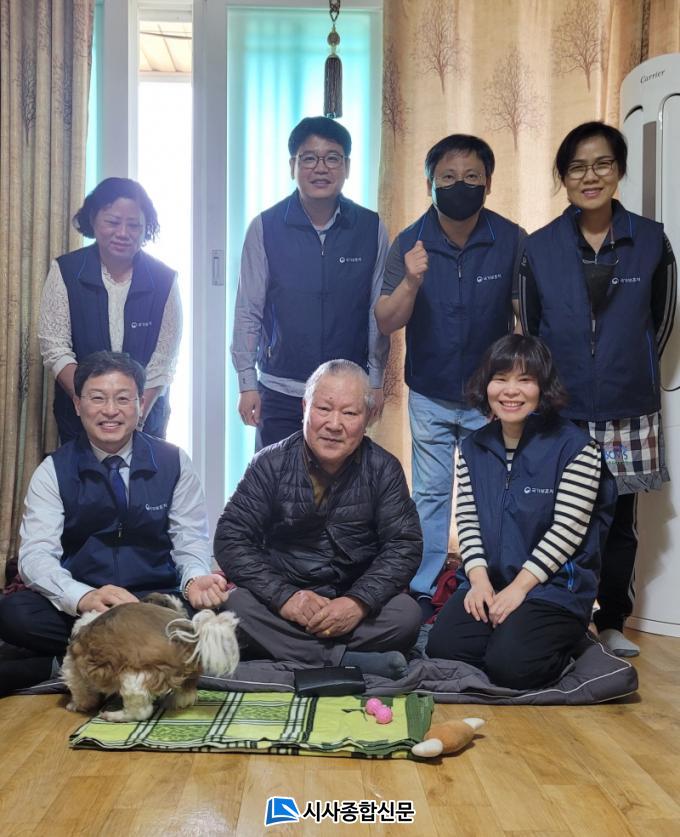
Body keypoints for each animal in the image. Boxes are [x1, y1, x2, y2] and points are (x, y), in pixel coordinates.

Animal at [62, 594, 240, 722]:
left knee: (140, 712)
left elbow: (80, 690)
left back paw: (113, 715)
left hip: (134, 676)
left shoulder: (73, 668)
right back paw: (174, 701)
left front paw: (75, 704)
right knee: (186, 695)